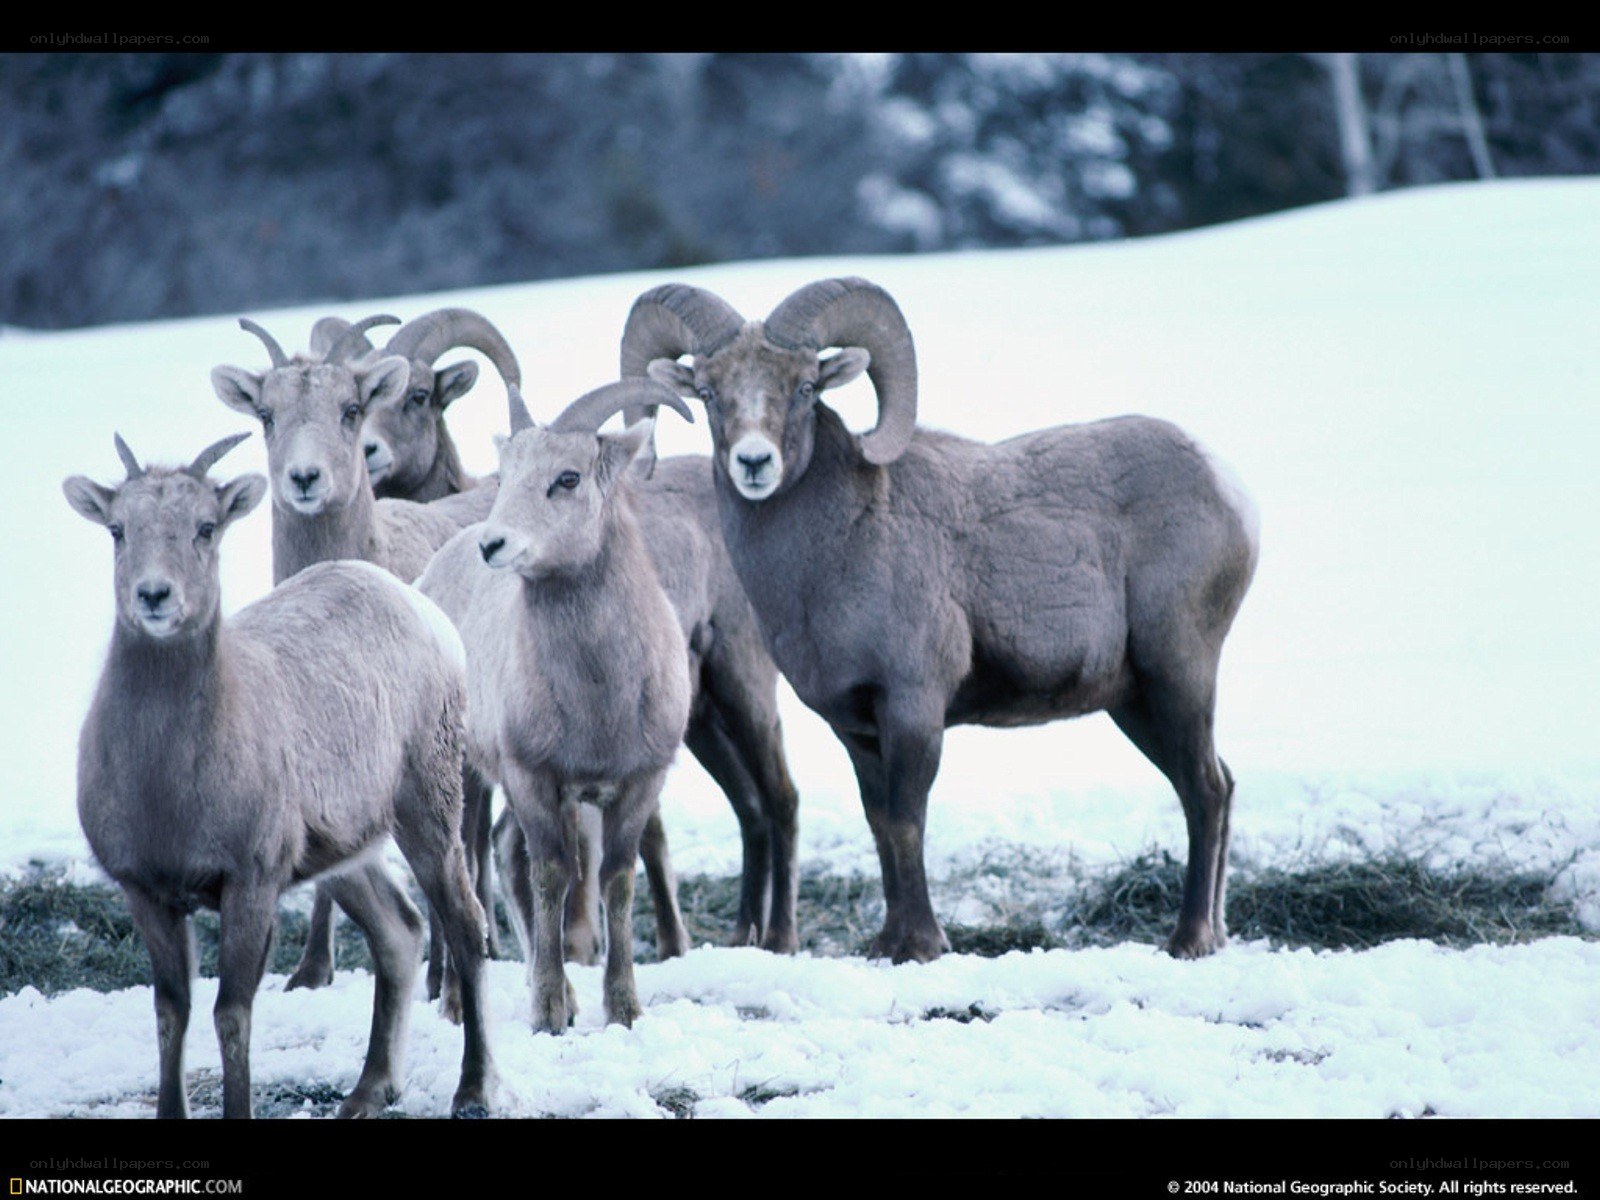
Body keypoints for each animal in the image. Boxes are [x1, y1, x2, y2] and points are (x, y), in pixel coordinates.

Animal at [62, 433, 494, 1118]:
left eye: (206, 527)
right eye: (117, 529)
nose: (154, 596)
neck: (167, 789)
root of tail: (423, 604)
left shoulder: (251, 879)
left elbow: (231, 1014)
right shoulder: (146, 888)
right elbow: (170, 1013)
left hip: (429, 803)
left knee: (464, 921)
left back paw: (473, 1090)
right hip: (344, 849)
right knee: (399, 931)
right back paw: (368, 1091)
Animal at [415, 379, 695, 1031]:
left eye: (568, 478)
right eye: (506, 473)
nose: (495, 544)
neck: (599, 697)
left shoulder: (637, 783)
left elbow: (615, 883)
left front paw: (621, 1009)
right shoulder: (531, 776)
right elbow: (551, 878)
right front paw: (547, 1011)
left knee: (495, 854)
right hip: (464, 772)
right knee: (465, 867)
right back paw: (452, 1002)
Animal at [621, 277, 1260, 964]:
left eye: (805, 387)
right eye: (710, 392)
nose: (754, 462)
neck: (840, 550)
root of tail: (1229, 490)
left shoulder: (914, 706)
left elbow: (908, 823)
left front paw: (924, 944)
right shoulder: (857, 728)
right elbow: (880, 824)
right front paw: (886, 943)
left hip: (1177, 676)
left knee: (1204, 790)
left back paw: (1188, 940)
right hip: (1135, 703)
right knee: (1217, 785)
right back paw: (1215, 933)